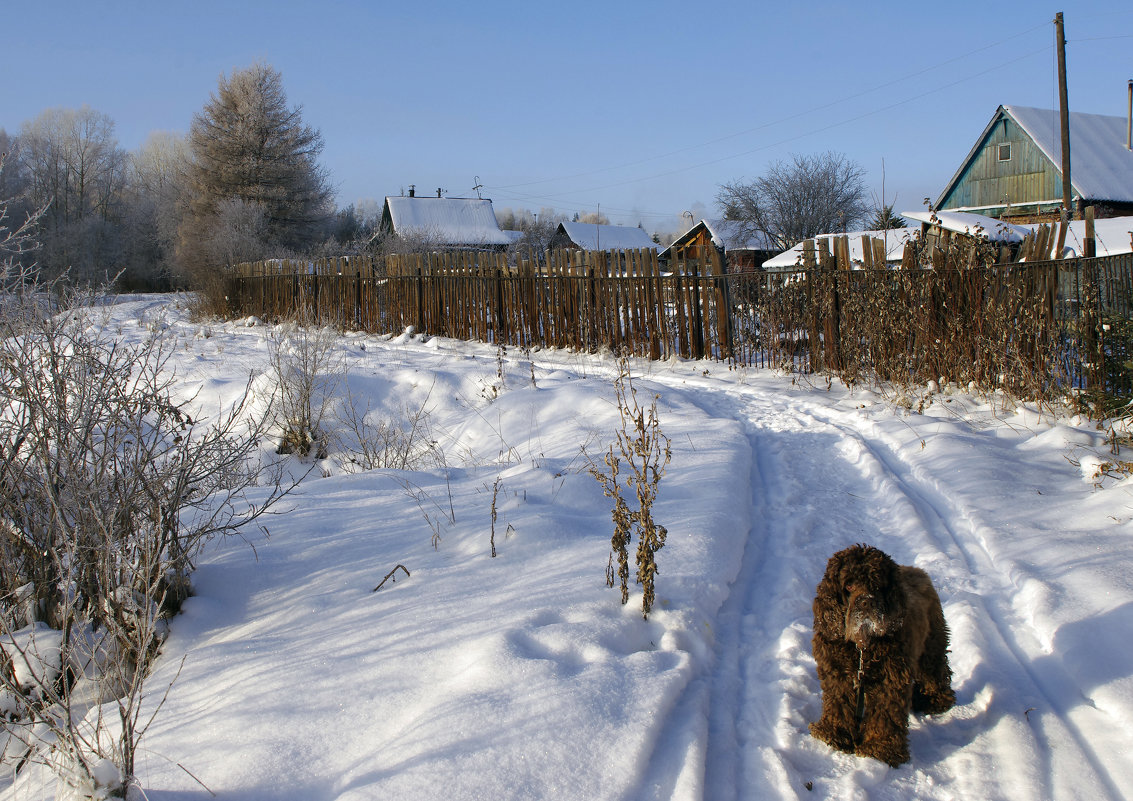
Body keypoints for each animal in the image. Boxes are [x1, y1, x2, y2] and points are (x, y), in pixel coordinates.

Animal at [811, 546, 951, 765]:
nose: (866, 602)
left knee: (934, 672)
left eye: (877, 584)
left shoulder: (890, 679)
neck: (862, 646)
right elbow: (839, 705)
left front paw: (880, 750)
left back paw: (935, 700)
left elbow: (885, 715)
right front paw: (834, 735)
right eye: (849, 584)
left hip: (932, 644)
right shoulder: (838, 675)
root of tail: (917, 570)